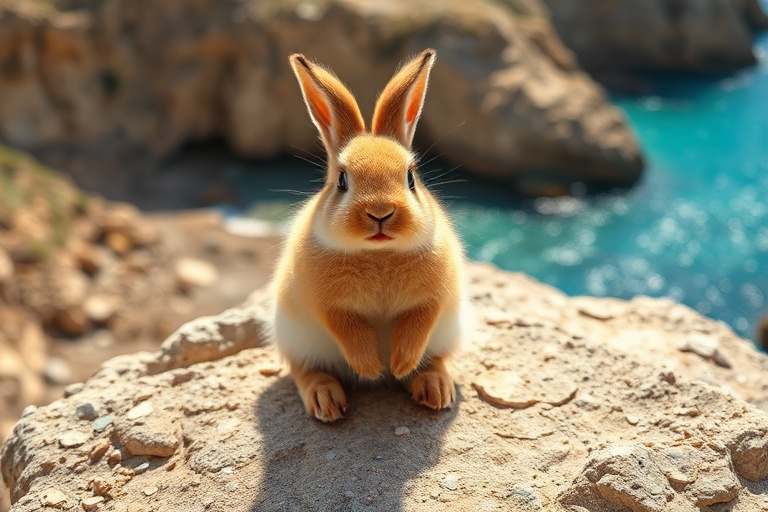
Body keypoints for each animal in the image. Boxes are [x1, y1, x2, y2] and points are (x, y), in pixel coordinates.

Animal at [273, 49, 471, 422]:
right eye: (342, 180)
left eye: (410, 177)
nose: (381, 213)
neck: (379, 254)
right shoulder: (325, 304)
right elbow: (345, 328)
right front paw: (371, 367)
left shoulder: (435, 297)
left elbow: (420, 321)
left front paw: (399, 363)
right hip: (298, 340)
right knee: (305, 371)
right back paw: (326, 400)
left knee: (436, 359)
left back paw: (433, 388)